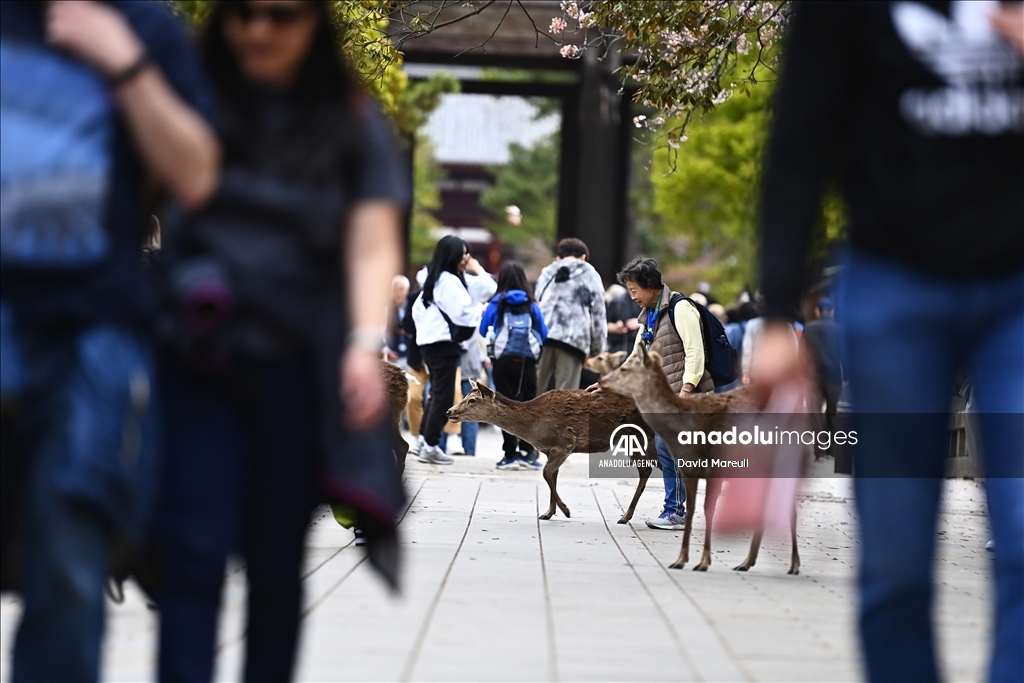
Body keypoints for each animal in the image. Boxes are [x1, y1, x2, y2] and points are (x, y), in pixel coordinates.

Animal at [448, 385, 655, 524]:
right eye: (466, 396)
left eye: (472, 400)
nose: (450, 411)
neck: (534, 426)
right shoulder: (550, 451)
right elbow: (552, 476)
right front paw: (547, 513)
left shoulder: (565, 443)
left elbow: (546, 473)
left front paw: (566, 510)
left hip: (636, 437)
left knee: (647, 469)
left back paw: (625, 516)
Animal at [598, 344, 798, 573]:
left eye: (624, 368)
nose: (601, 382)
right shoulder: (689, 469)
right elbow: (693, 509)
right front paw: (682, 559)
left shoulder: (717, 467)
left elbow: (708, 509)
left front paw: (702, 562)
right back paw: (747, 562)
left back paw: (792, 565)